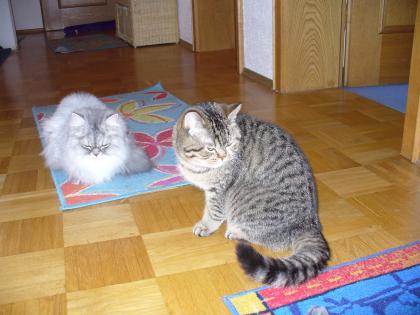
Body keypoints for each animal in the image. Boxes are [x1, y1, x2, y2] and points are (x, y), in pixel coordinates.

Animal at [172, 102, 330, 288]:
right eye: (211, 148)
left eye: (229, 144)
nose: (223, 156)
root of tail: (310, 224)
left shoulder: (218, 191)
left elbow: (213, 212)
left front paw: (206, 226)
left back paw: (235, 232)